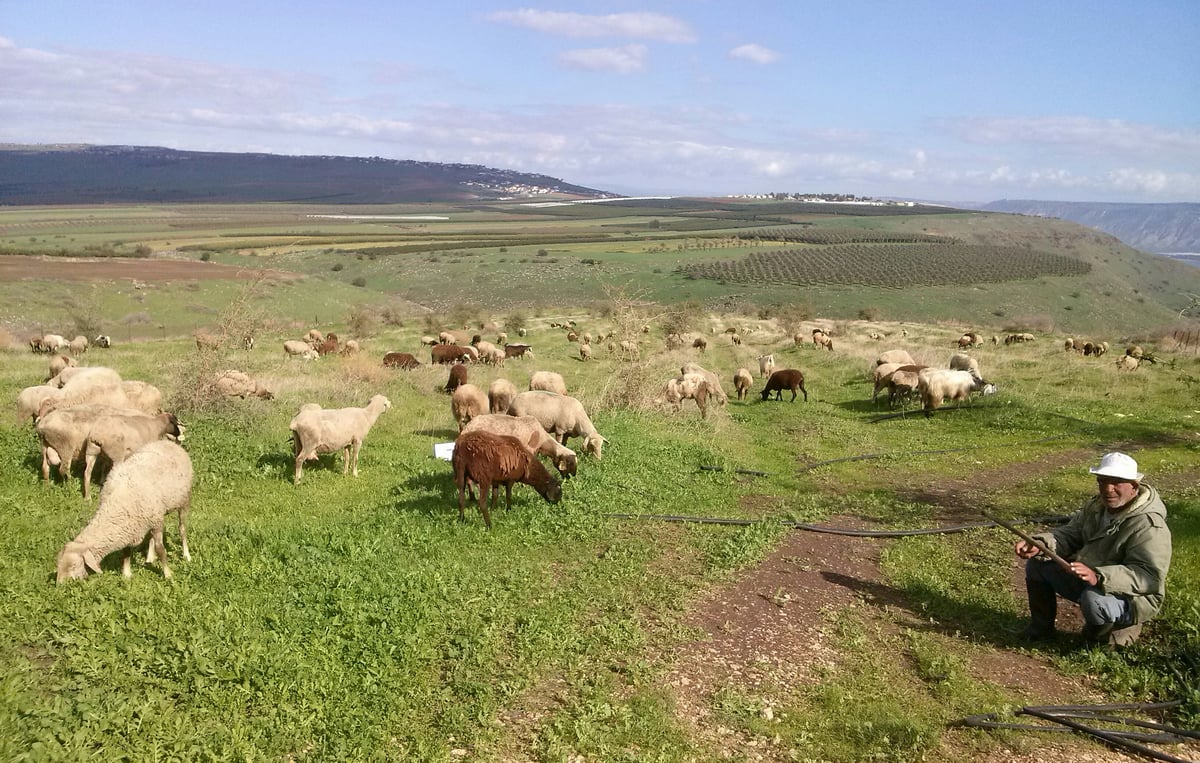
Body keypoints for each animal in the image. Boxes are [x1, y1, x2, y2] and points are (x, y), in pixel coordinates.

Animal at [55, 439, 192, 580]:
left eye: (73, 566)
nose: (59, 584)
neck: (116, 504)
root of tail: (168, 442)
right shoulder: (130, 525)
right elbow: (126, 551)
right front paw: (126, 574)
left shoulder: (152, 521)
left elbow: (161, 549)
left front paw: (168, 574)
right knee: (151, 537)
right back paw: (150, 557)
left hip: (183, 500)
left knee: (182, 529)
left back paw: (186, 555)